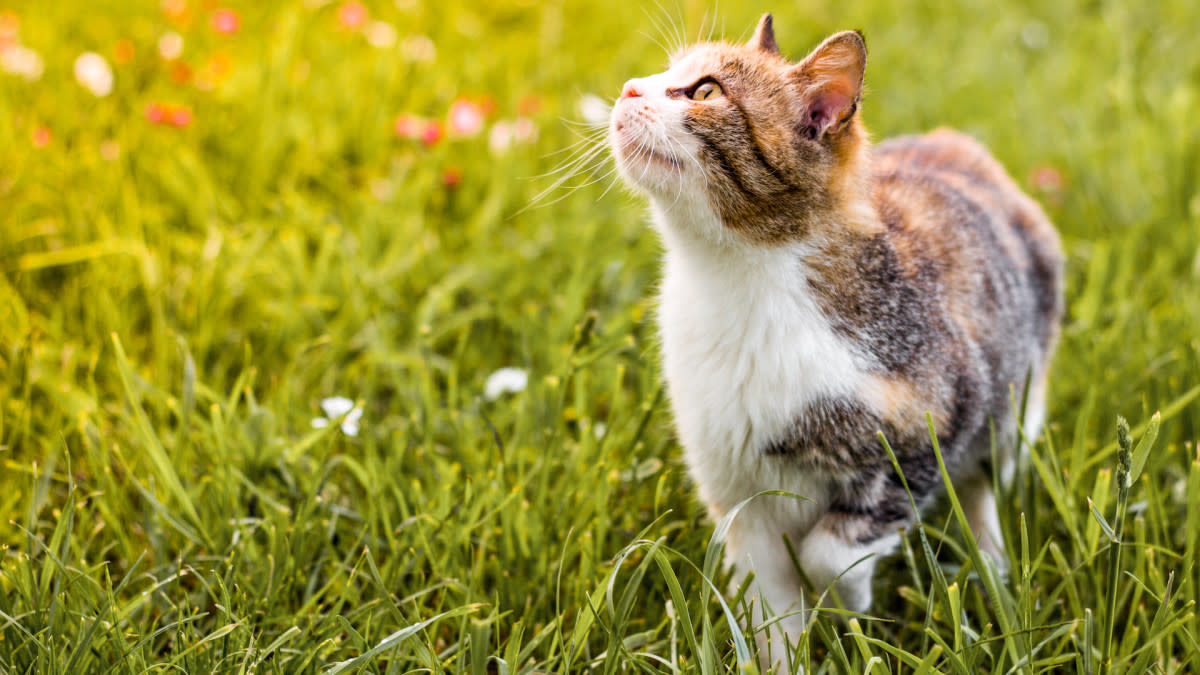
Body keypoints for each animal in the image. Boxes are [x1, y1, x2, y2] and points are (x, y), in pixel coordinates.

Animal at [604, 13, 1065, 662]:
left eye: (704, 91)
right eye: (663, 73)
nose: (627, 89)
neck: (734, 282)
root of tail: (957, 144)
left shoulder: (931, 425)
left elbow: (831, 553)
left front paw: (850, 606)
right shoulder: (740, 494)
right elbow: (771, 606)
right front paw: (789, 652)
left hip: (1016, 404)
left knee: (983, 480)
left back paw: (991, 565)